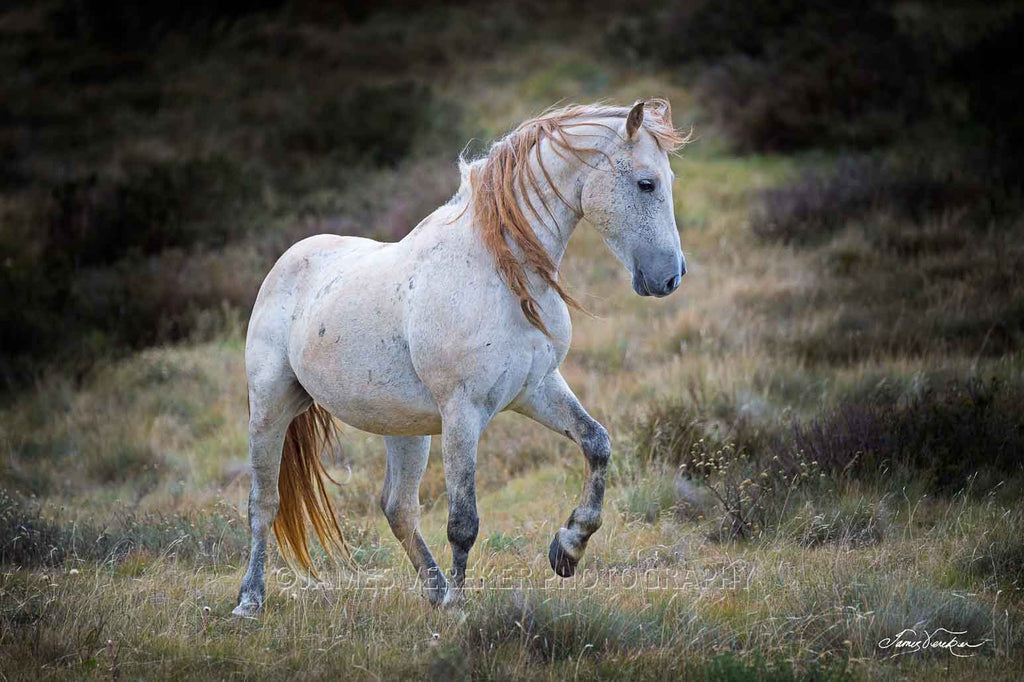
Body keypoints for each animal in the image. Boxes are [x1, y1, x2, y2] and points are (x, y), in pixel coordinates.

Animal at [232, 98, 688, 614]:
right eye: (646, 183)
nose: (670, 277)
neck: (502, 272)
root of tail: (287, 260)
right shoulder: (463, 411)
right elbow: (463, 521)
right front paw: (457, 610)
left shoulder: (537, 389)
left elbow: (597, 443)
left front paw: (568, 549)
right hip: (271, 407)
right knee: (263, 504)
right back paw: (250, 600)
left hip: (404, 429)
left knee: (398, 507)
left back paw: (432, 589)